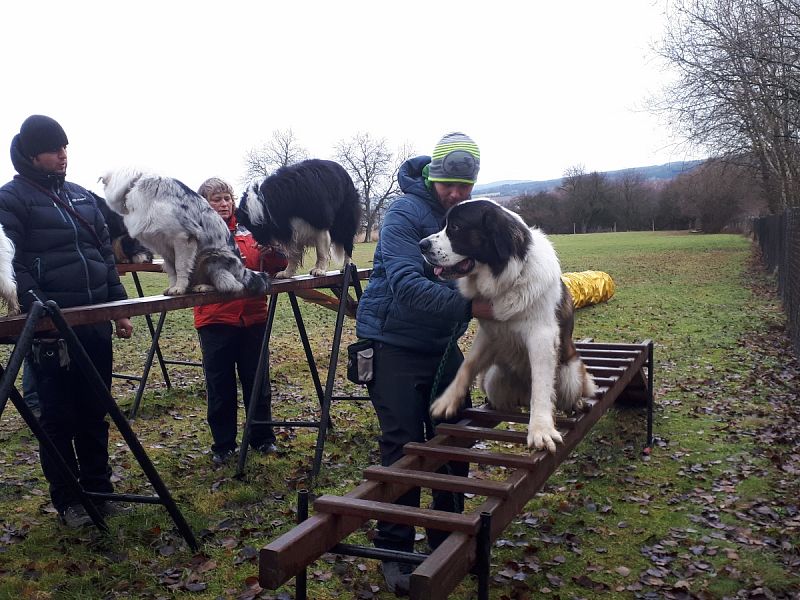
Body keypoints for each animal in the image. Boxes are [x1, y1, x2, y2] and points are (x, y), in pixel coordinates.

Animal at [99, 169, 268, 298]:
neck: (134, 185)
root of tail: (244, 271)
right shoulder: (164, 247)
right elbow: (172, 270)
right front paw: (174, 287)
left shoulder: (182, 237)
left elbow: (180, 267)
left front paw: (179, 288)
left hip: (210, 257)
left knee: (233, 285)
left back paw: (204, 287)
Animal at [418, 199, 592, 452]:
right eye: (443, 225)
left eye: (456, 228)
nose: (421, 245)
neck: (509, 278)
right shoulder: (490, 333)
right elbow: (468, 365)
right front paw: (447, 400)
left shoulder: (541, 336)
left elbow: (541, 384)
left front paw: (540, 429)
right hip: (493, 378)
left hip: (570, 375)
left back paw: (576, 403)